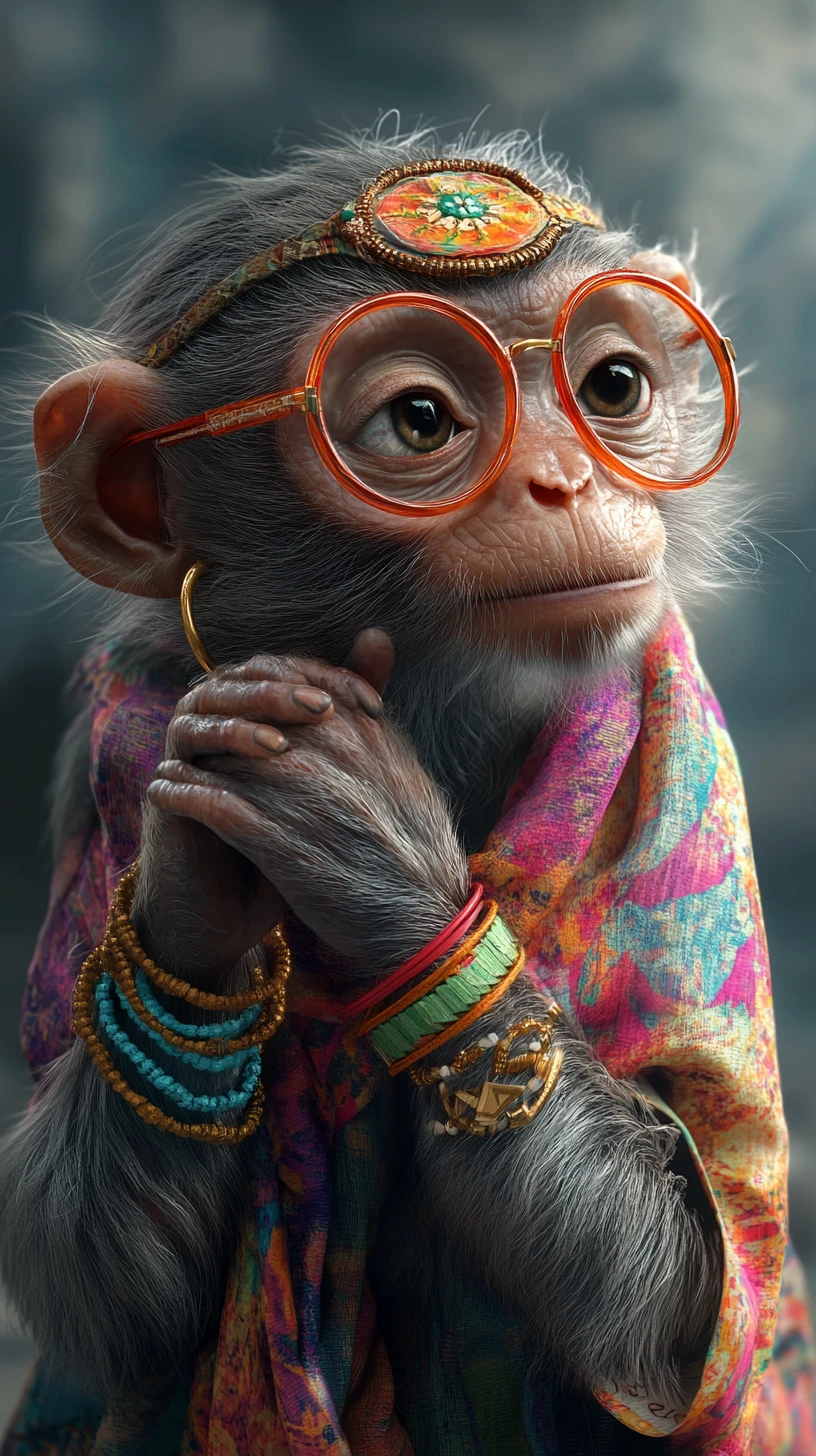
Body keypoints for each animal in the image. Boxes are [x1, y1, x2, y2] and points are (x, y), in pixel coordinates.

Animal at [0, 131, 800, 1455]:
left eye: (613, 386)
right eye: (420, 418)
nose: (567, 478)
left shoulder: (685, 757)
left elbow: (684, 1311)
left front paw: (365, 832)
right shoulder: (107, 747)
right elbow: (102, 1315)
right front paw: (201, 879)